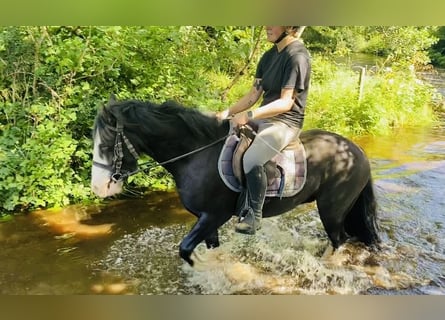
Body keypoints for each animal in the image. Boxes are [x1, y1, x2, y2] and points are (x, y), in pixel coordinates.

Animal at [90, 97, 378, 264]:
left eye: (105, 145)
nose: (97, 188)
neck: (197, 154)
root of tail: (356, 152)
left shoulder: (214, 216)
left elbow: (185, 249)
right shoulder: (206, 219)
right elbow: (209, 249)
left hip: (332, 211)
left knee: (340, 240)